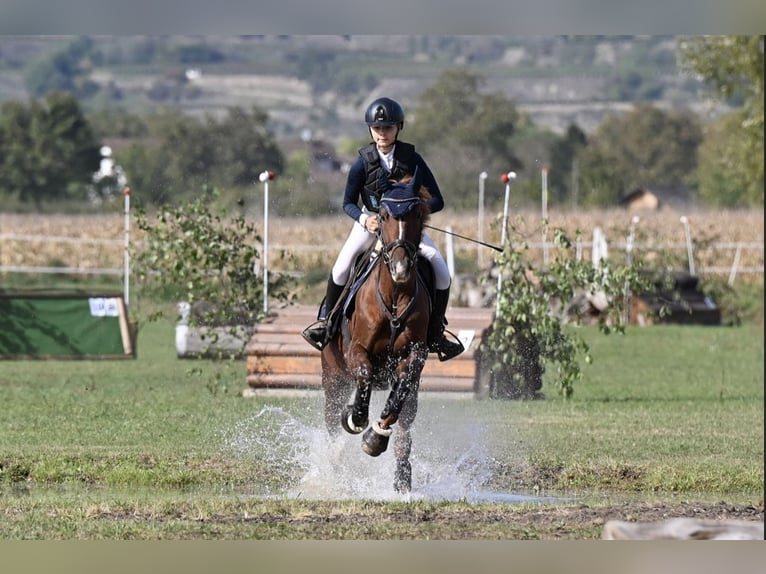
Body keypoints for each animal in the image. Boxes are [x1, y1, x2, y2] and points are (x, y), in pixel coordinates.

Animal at [318, 168, 432, 496]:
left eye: (417, 213)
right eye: (381, 215)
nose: (401, 269)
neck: (393, 297)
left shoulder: (415, 355)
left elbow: (401, 390)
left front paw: (376, 435)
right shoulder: (357, 351)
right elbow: (366, 375)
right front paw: (355, 417)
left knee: (405, 429)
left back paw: (402, 480)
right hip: (332, 379)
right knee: (332, 425)